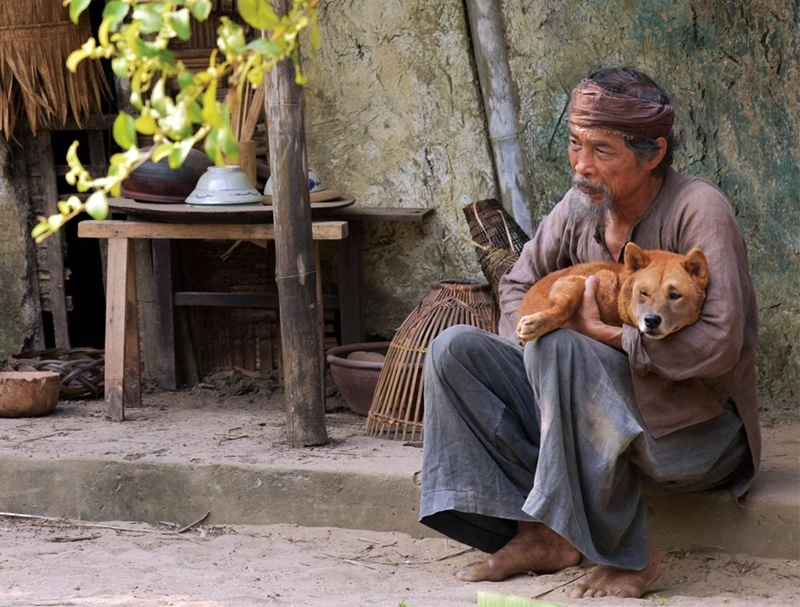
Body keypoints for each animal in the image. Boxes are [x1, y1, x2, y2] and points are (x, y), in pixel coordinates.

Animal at [520, 243, 708, 346]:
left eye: (674, 295)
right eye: (644, 293)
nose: (652, 320)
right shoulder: (573, 280)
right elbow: (567, 305)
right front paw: (538, 324)